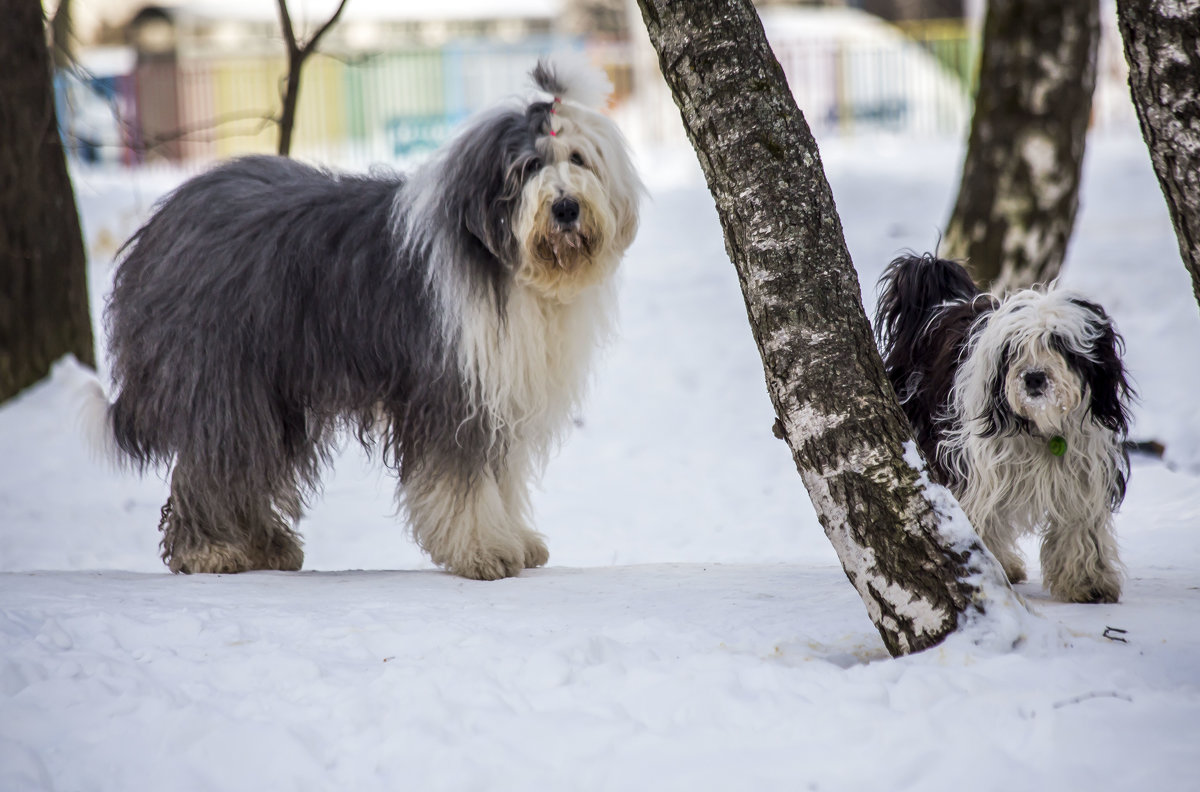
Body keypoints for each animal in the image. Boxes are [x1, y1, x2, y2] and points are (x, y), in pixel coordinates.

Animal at [85, 58, 648, 580]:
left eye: (578, 158)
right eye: (529, 166)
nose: (566, 208)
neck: (505, 264)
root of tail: (161, 223)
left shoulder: (498, 388)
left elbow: (500, 474)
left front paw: (516, 539)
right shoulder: (451, 386)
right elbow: (462, 478)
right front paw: (484, 551)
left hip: (274, 387)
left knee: (252, 461)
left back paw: (266, 546)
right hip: (222, 375)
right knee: (217, 456)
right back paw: (210, 550)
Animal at [873, 253, 1132, 600]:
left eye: (1059, 344)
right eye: (1018, 348)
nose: (1034, 378)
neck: (1040, 426)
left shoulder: (1083, 470)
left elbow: (1079, 524)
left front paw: (1087, 582)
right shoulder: (980, 470)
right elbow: (982, 518)